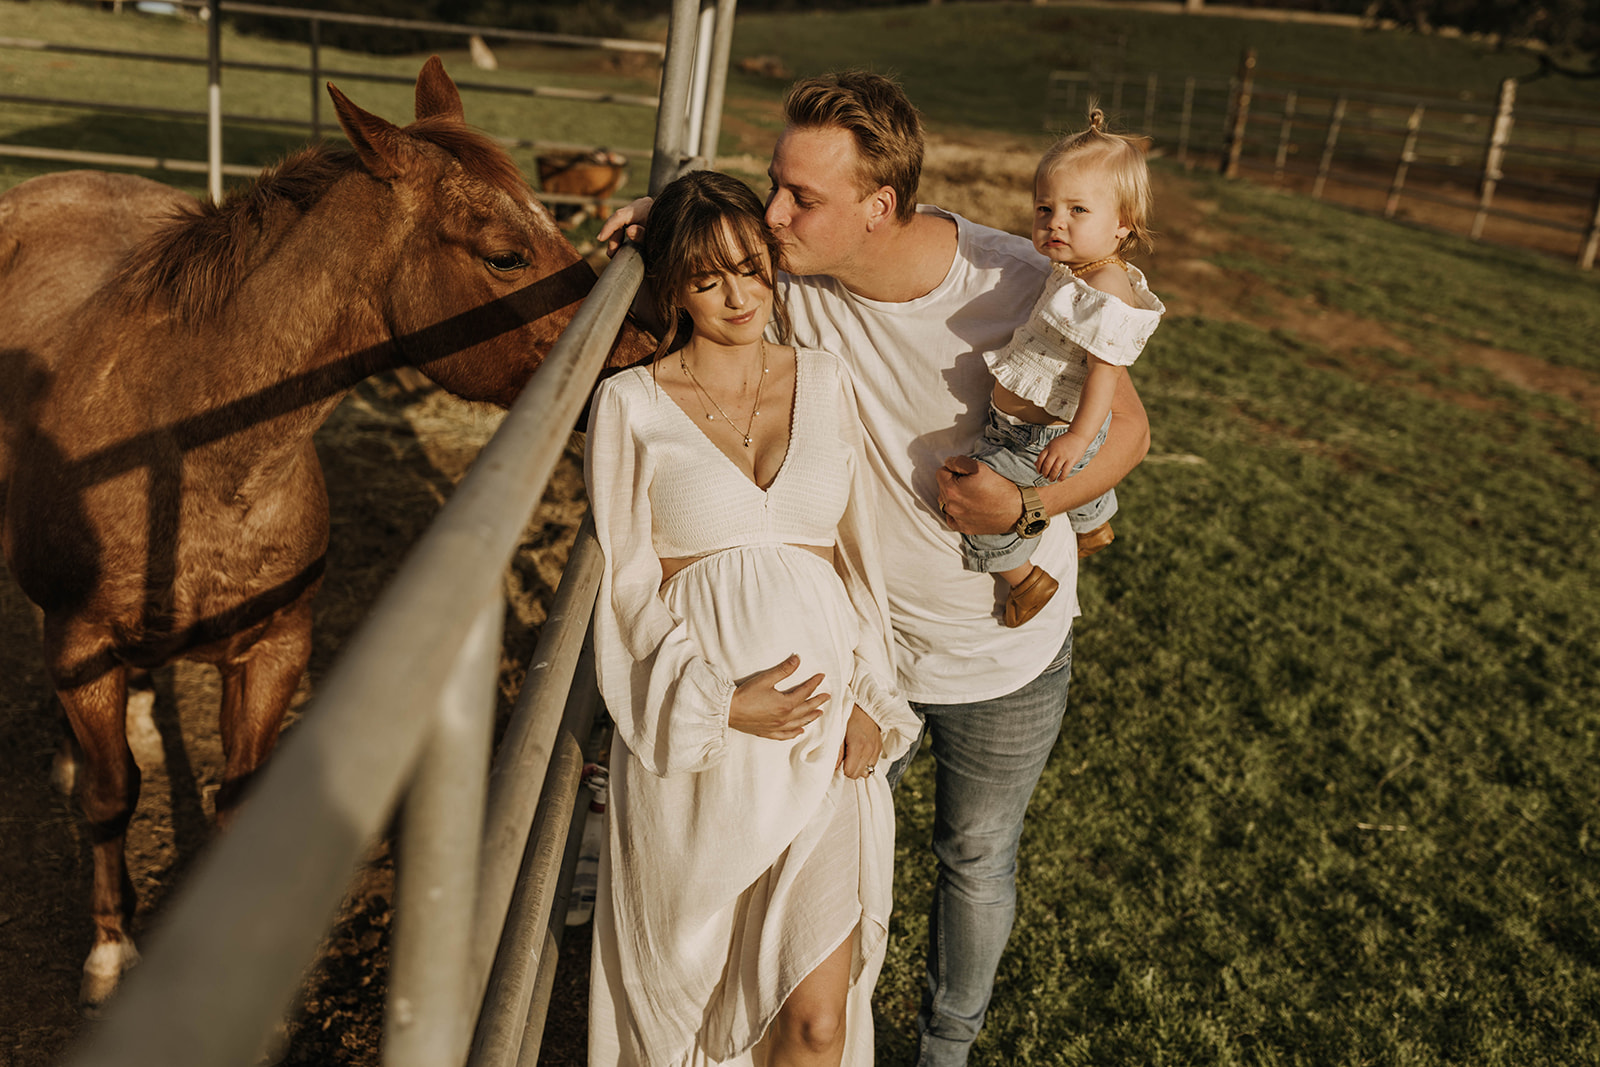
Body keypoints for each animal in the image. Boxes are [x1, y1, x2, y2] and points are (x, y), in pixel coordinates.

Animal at [1, 58, 649, 1011]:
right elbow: (113, 797)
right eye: (505, 253)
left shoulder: (278, 646)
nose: (641, 346)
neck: (183, 444)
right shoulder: (82, 646)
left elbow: (235, 800)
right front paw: (111, 951)